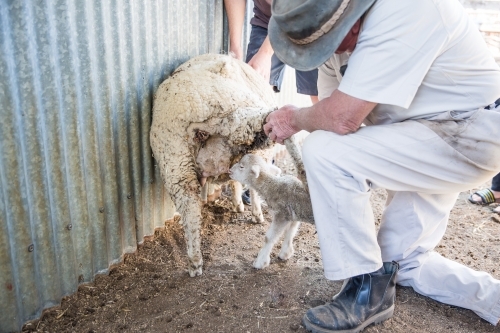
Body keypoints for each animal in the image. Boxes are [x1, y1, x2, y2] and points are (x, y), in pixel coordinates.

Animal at [150, 53, 280, 274]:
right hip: (235, 121)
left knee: (190, 208)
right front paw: (252, 212)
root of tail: (195, 105)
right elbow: (249, 186)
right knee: (244, 126)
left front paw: (238, 204)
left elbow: (235, 180)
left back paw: (195, 261)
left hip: (175, 161)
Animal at [229, 136, 314, 268]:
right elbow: (290, 232)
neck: (272, 186)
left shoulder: (282, 215)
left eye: (242, 166)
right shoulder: (294, 215)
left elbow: (268, 238)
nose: (229, 171)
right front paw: (285, 253)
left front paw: (260, 262)